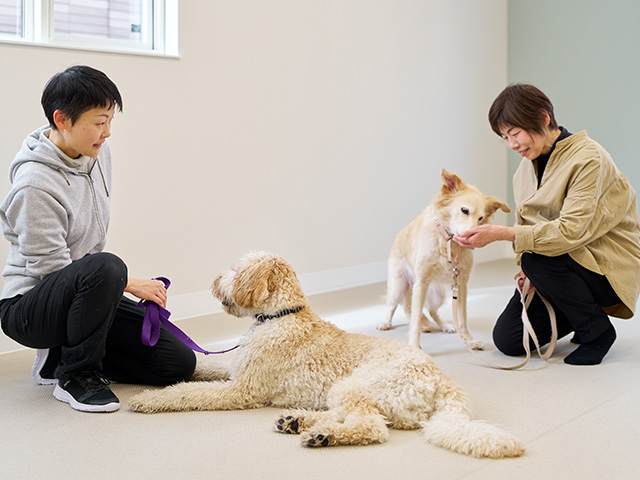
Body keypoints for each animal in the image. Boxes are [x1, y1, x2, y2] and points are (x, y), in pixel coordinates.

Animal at [127, 251, 524, 458]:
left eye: (237, 270)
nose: (212, 282)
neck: (281, 315)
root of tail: (444, 381)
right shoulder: (237, 368)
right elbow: (206, 366)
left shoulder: (243, 390)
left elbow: (188, 392)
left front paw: (150, 399)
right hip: (346, 391)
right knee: (352, 417)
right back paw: (299, 422)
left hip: (357, 386)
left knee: (372, 427)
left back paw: (322, 436)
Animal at [380, 168, 510, 348]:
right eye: (464, 210)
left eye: (480, 218)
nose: (470, 239)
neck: (448, 242)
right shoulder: (421, 284)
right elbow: (414, 320)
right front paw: (414, 345)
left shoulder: (461, 285)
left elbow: (462, 319)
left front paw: (469, 340)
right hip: (399, 287)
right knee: (393, 305)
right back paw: (386, 322)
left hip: (438, 294)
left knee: (432, 311)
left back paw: (445, 326)